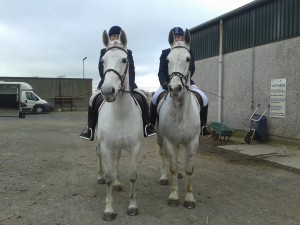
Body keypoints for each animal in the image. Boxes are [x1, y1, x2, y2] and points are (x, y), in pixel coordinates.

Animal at [95, 29, 144, 221]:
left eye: (124, 60)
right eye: (103, 61)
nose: (108, 91)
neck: (121, 113)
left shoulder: (134, 147)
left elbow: (133, 176)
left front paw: (133, 206)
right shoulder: (106, 146)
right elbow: (108, 177)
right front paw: (109, 210)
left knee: (116, 160)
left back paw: (117, 182)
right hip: (100, 143)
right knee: (100, 158)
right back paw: (100, 177)